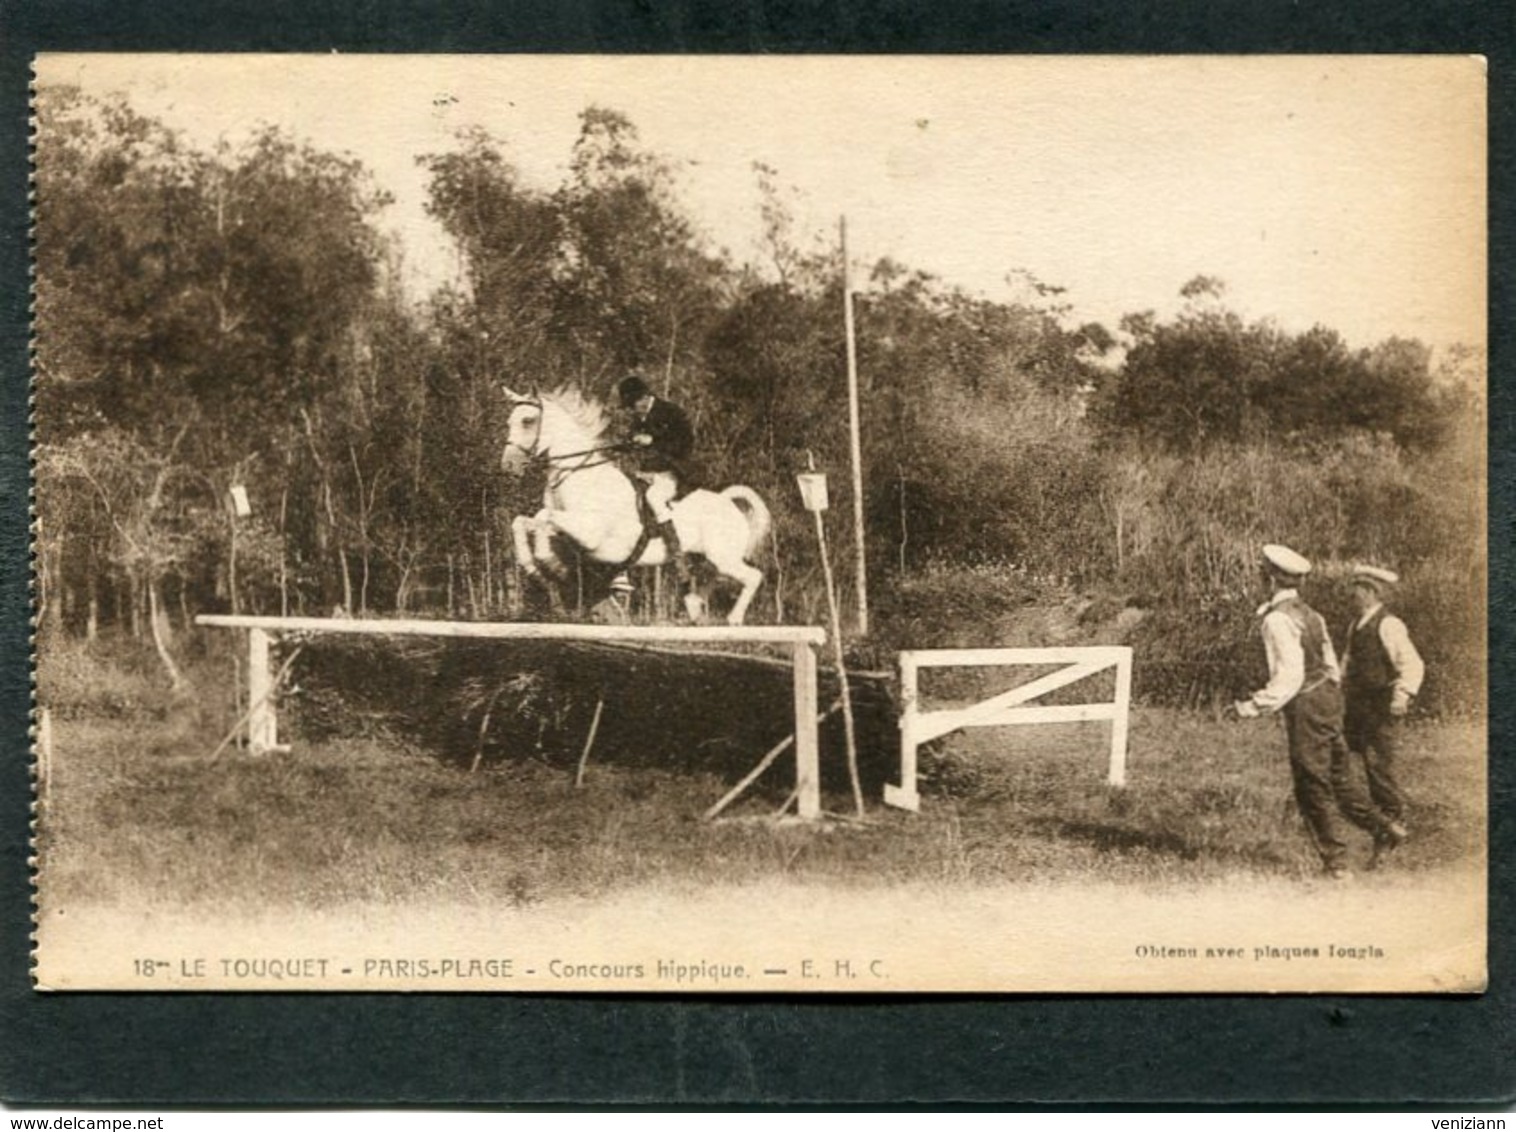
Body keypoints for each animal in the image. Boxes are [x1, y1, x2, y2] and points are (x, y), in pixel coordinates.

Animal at [503, 384, 776, 624]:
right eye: (509, 422)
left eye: (527, 421)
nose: (508, 466)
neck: (580, 475)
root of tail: (727, 501)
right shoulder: (569, 530)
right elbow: (527, 521)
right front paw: (538, 566)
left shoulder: (590, 533)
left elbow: (545, 518)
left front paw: (548, 564)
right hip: (707, 558)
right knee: (712, 578)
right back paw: (694, 608)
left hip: (722, 557)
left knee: (752, 577)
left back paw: (733, 619)